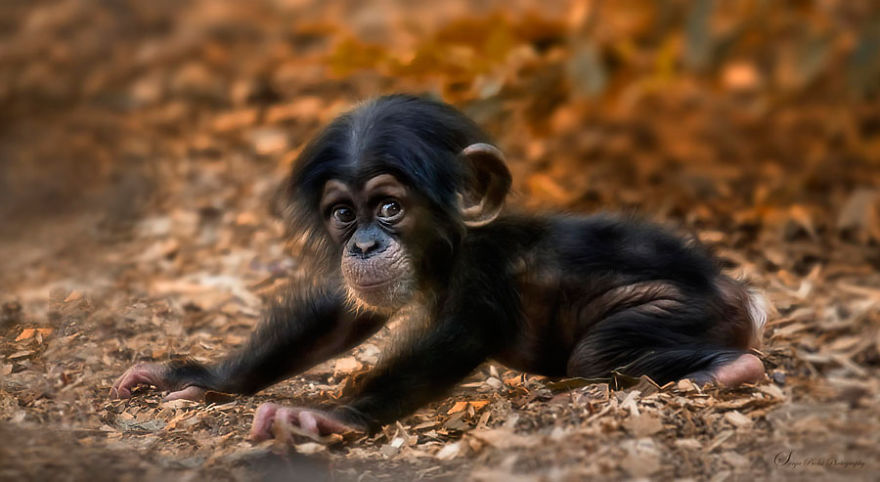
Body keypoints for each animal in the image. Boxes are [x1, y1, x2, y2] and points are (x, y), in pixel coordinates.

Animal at [112, 94, 767, 440]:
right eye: (344, 214)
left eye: (389, 207)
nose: (364, 245)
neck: (450, 249)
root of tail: (744, 296)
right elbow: (338, 318)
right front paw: (197, 378)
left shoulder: (483, 274)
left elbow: (456, 338)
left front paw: (326, 416)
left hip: (678, 309)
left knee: (599, 354)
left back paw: (729, 370)